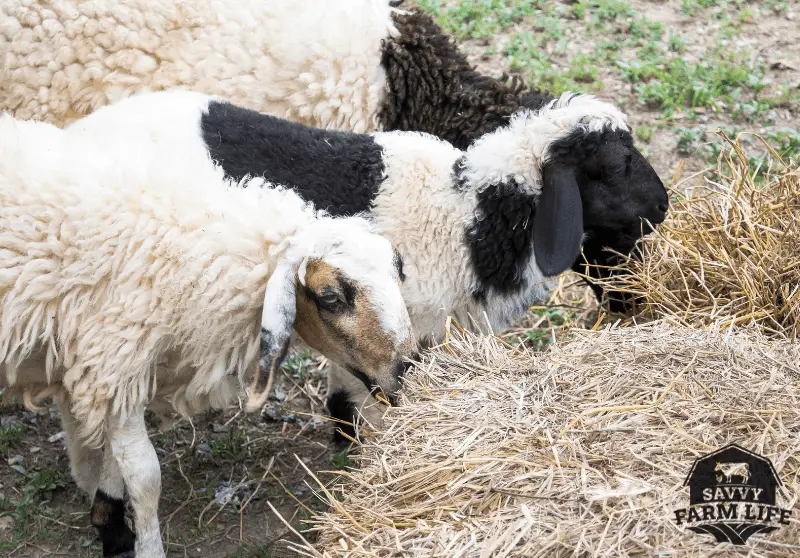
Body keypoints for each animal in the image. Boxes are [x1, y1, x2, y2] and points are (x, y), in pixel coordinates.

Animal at [0, 112, 415, 557]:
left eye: (398, 270)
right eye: (331, 297)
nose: (409, 371)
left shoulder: (108, 370)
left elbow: (116, 461)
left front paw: (113, 530)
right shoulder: (114, 357)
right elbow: (144, 476)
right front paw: (146, 546)